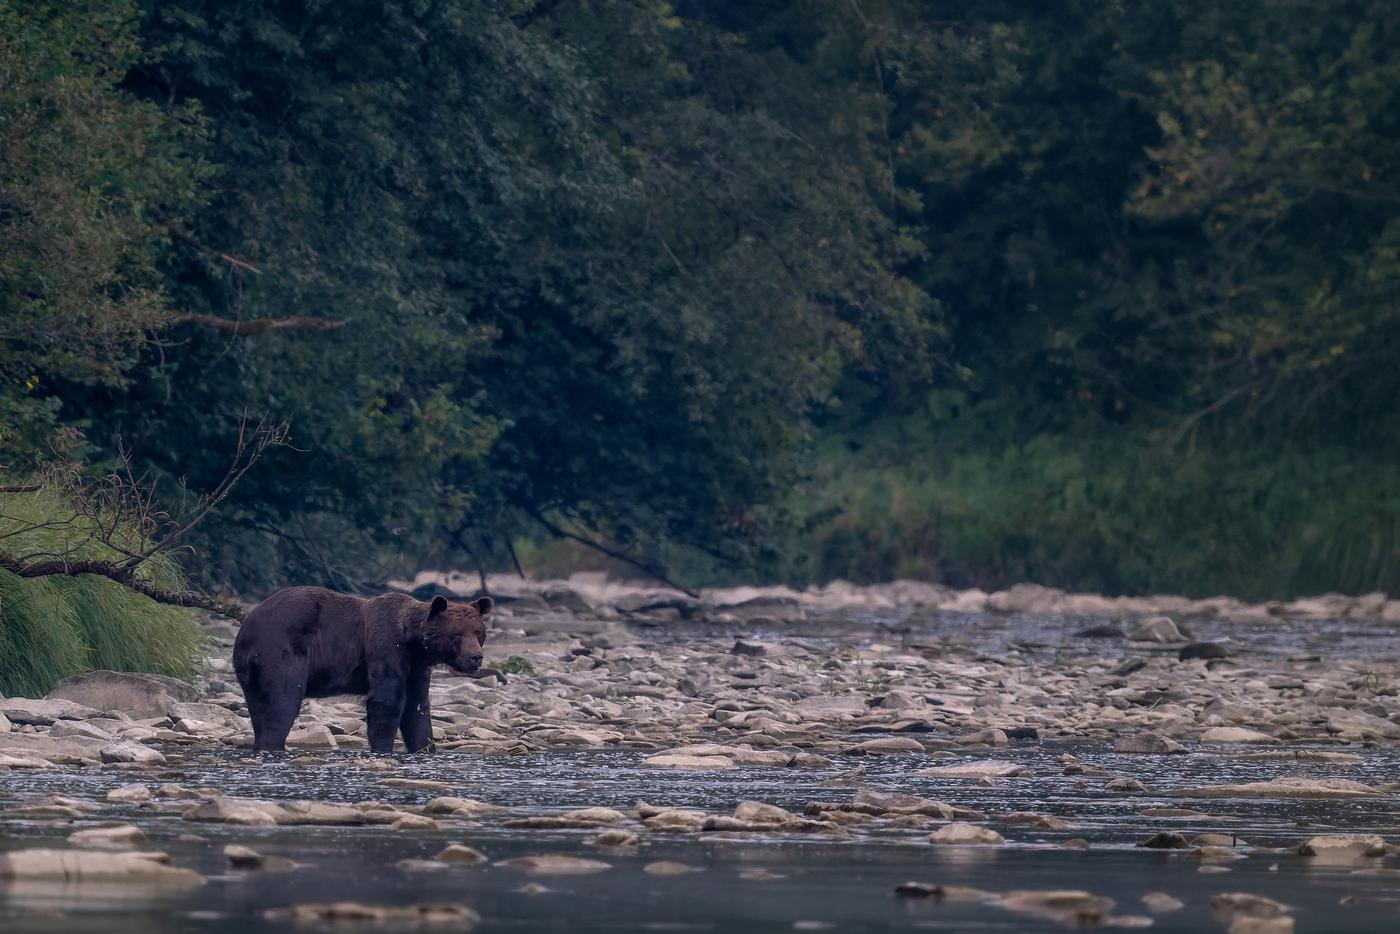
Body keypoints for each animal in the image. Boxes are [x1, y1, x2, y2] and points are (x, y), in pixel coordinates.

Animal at [232, 586, 493, 754]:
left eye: (478, 632)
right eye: (456, 633)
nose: (476, 657)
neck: (414, 641)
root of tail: (248, 627)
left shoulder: (417, 667)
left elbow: (417, 708)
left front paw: (424, 748)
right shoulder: (386, 647)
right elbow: (387, 702)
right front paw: (383, 749)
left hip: (250, 672)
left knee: (259, 707)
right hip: (283, 651)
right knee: (283, 701)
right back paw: (273, 745)